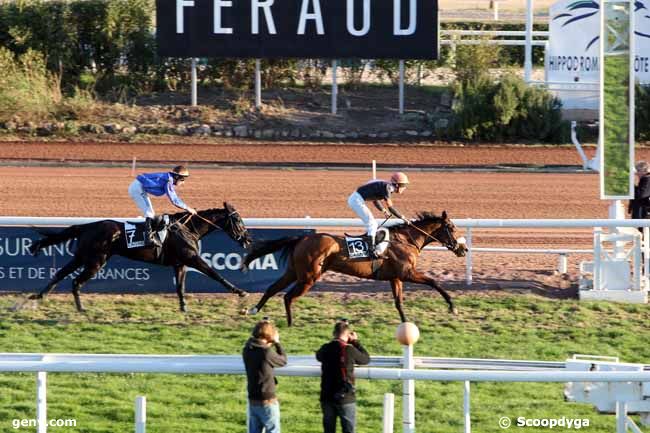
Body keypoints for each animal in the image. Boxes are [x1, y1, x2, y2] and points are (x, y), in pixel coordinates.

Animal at [25, 201, 249, 312]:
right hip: (96, 261)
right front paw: (240, 291)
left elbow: (180, 287)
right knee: (75, 281)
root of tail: (87, 226)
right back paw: (81, 308)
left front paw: (184, 308)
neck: (188, 228)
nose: (247, 239)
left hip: (82, 257)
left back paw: (39, 296)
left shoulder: (180, 264)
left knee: (61, 274)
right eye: (238, 220)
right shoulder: (192, 258)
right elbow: (215, 274)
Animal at [240, 209, 464, 324]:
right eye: (452, 228)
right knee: (287, 296)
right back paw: (290, 323)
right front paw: (452, 307)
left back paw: (253, 310)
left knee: (273, 288)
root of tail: (302, 237)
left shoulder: (395, 277)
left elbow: (399, 302)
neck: (406, 240)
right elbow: (434, 282)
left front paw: (405, 324)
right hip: (309, 277)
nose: (463, 249)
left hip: (294, 272)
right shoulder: (407, 273)